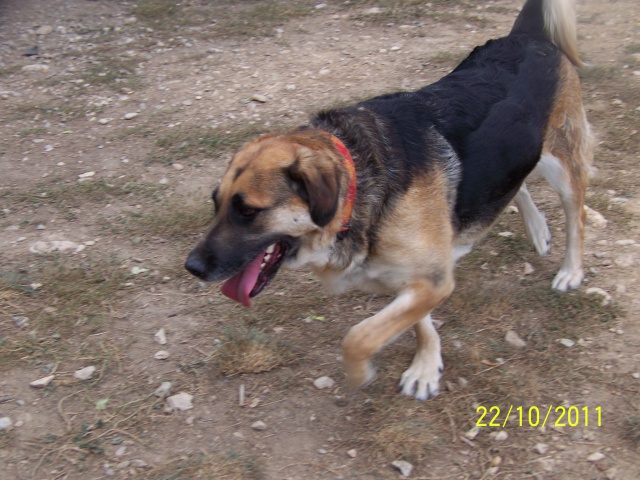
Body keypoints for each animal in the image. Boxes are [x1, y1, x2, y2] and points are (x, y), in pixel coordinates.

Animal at [186, 0, 596, 400]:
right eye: (215, 203)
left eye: (247, 211)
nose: (191, 267)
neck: (357, 187)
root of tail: (525, 36)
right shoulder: (416, 278)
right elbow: (417, 323)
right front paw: (426, 365)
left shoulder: (432, 280)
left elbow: (359, 336)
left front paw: (360, 373)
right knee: (516, 185)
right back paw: (537, 229)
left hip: (561, 163)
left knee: (576, 215)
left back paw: (570, 270)